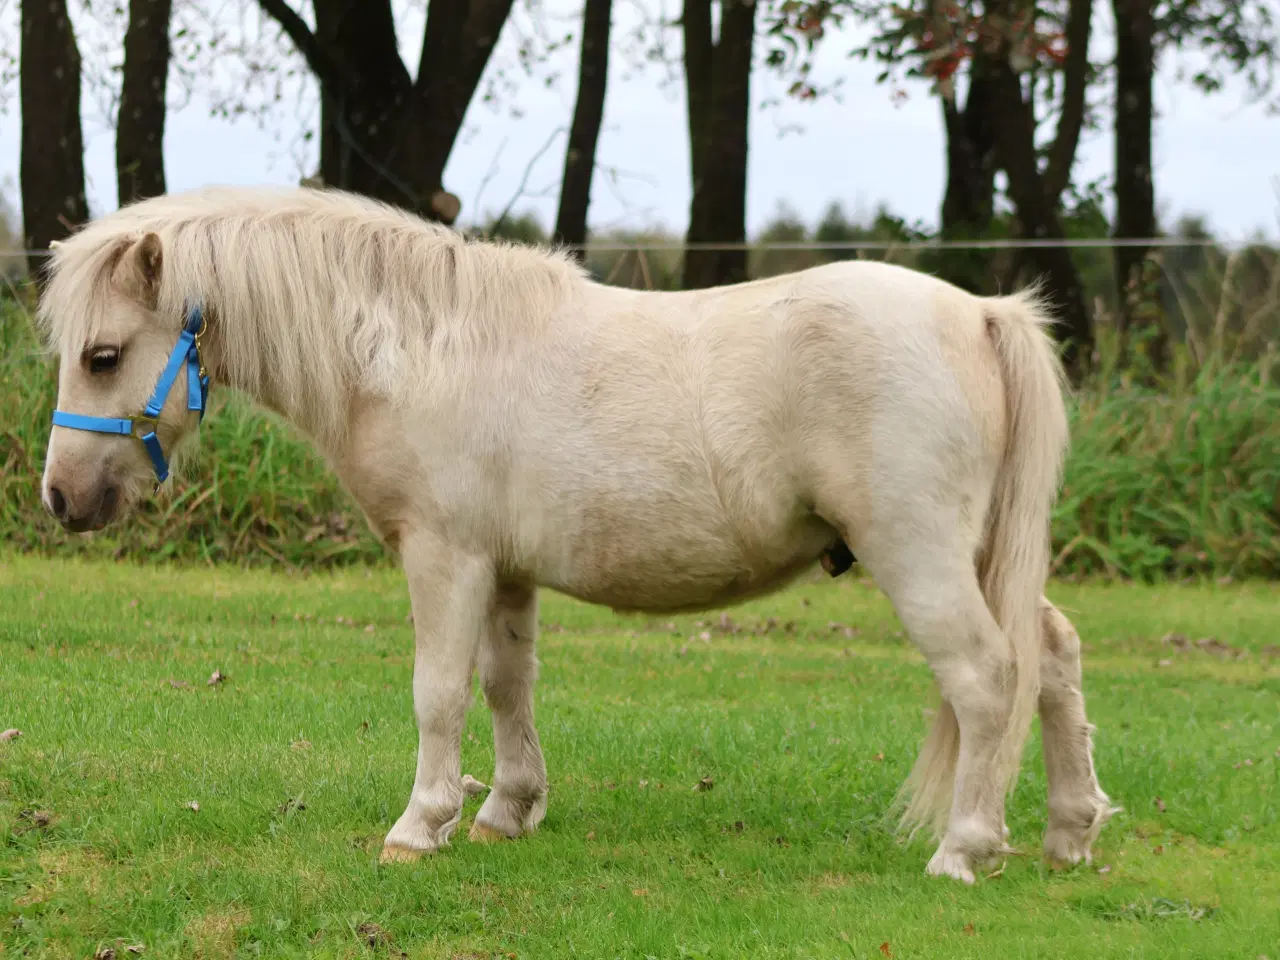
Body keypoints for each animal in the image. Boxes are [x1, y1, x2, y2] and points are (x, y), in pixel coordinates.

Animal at [35, 184, 1116, 885]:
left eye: (104, 355)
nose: (61, 497)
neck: (414, 351)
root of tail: (979, 315)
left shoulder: (445, 555)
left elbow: (438, 692)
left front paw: (419, 826)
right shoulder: (505, 570)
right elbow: (506, 685)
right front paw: (505, 811)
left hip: (918, 554)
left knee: (986, 676)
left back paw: (964, 850)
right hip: (983, 554)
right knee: (1053, 656)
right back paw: (1068, 835)